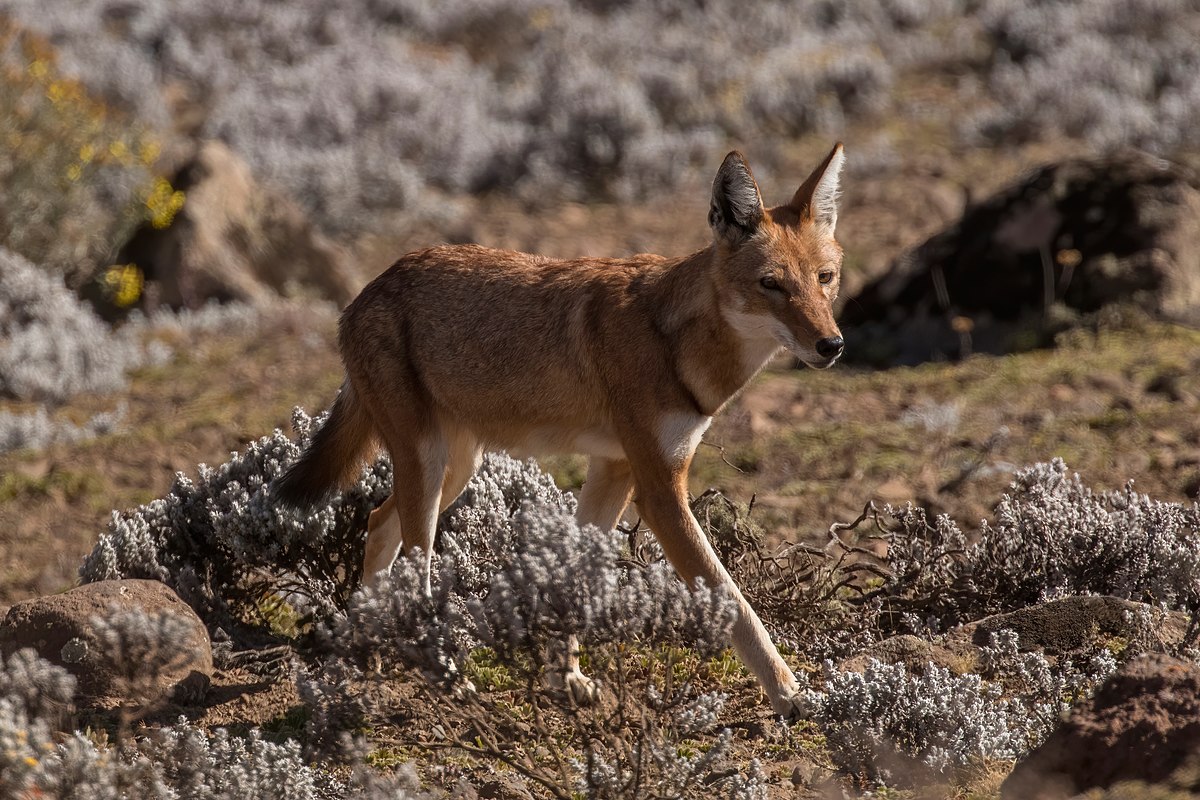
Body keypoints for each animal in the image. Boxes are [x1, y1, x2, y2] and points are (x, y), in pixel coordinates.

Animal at [276, 143, 849, 719]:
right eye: (771, 284)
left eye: (825, 278)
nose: (832, 345)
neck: (676, 342)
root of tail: (364, 292)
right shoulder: (660, 492)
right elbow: (735, 602)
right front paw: (791, 693)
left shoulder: (616, 470)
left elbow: (574, 578)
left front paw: (566, 678)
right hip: (432, 469)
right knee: (416, 570)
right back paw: (446, 676)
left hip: (454, 472)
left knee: (377, 523)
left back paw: (367, 648)